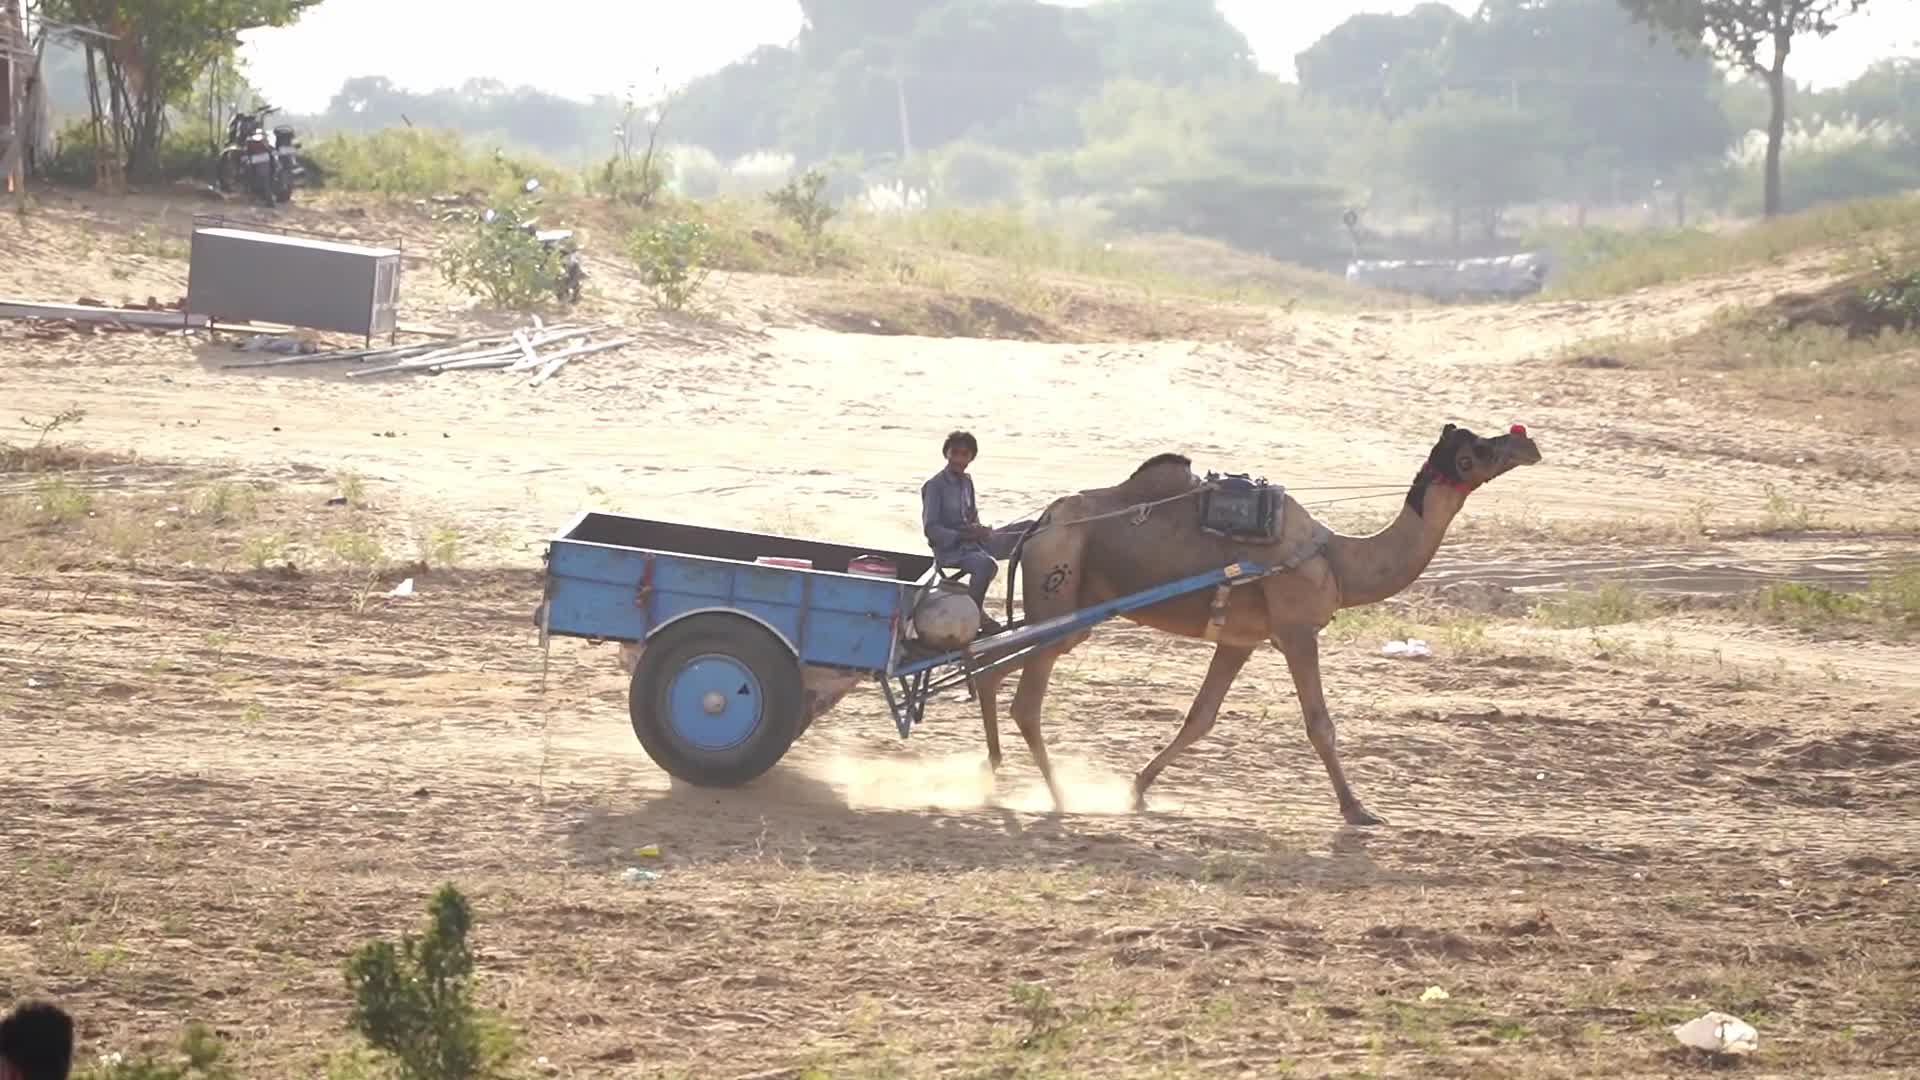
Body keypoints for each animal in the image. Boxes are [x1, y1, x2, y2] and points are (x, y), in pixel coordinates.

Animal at [969, 422, 1542, 826]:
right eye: (1478, 451)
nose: (1528, 443)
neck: (1337, 558)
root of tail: (1039, 525)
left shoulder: (1239, 640)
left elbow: (1200, 718)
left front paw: (1137, 789)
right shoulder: (1296, 630)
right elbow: (1320, 724)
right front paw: (1359, 810)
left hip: (1071, 611)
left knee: (990, 666)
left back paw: (992, 778)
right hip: (1059, 593)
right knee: (1023, 699)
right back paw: (1056, 796)